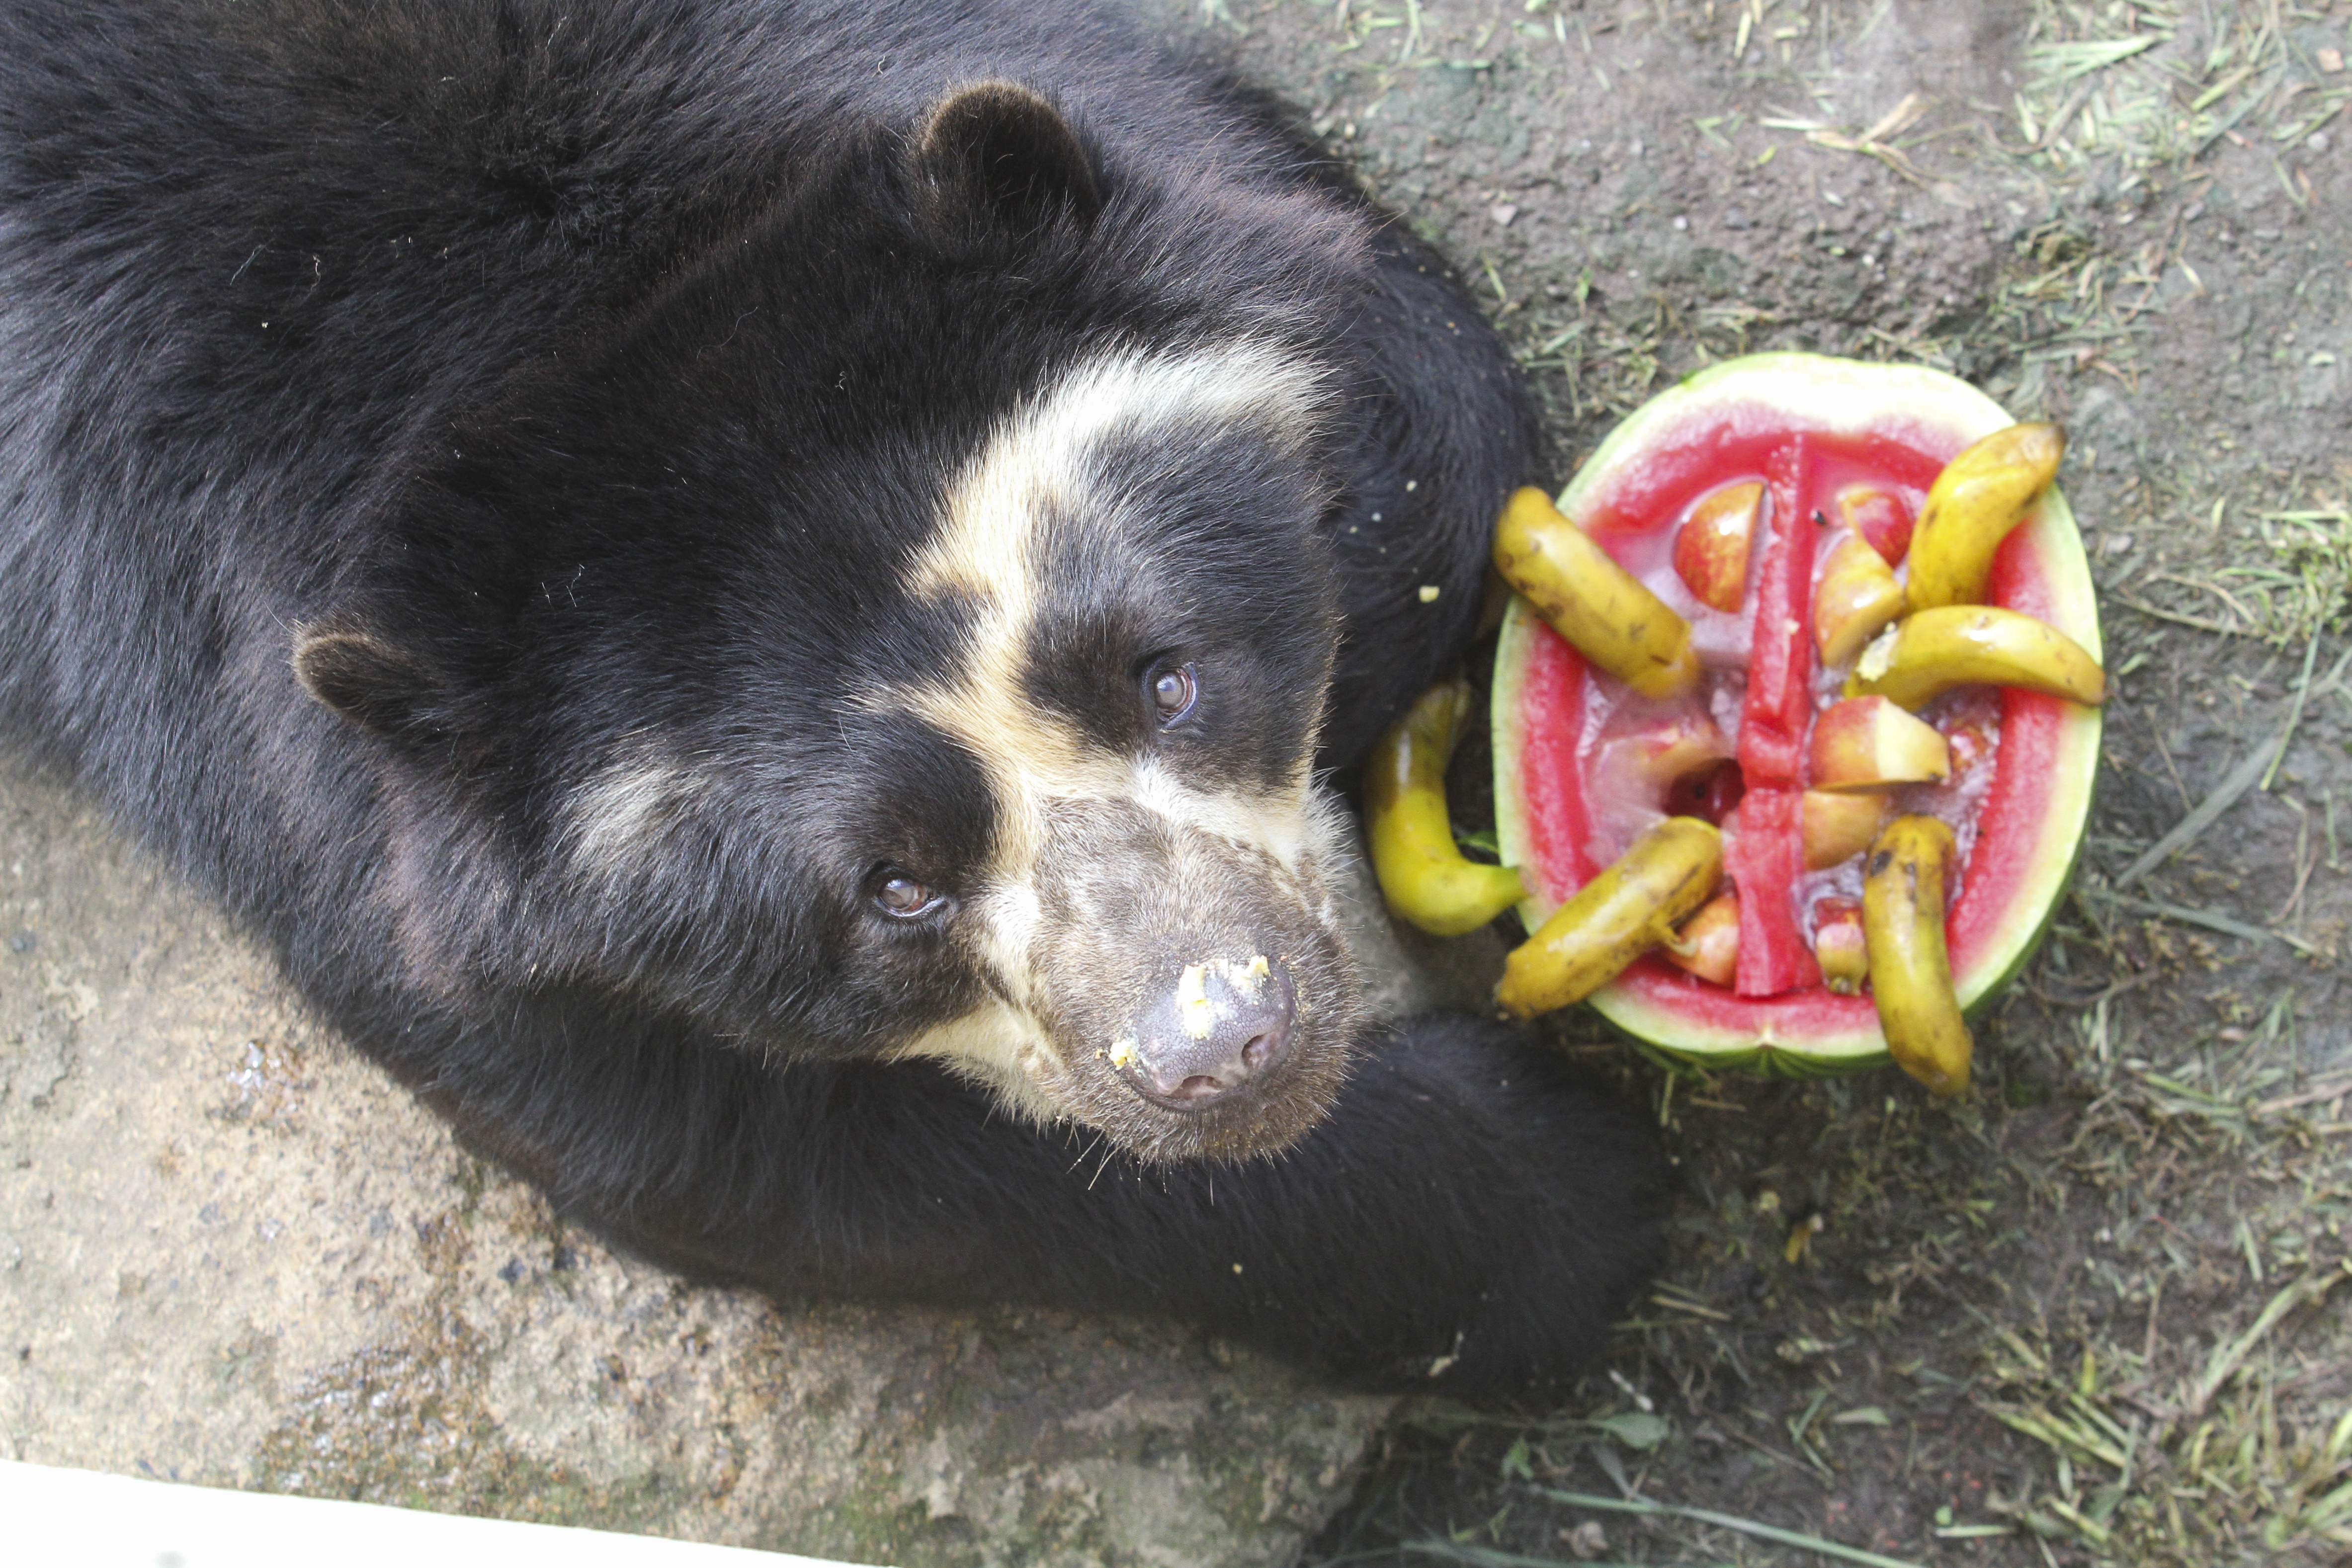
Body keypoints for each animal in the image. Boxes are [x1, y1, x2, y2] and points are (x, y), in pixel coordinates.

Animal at [0, 0, 1666, 1401]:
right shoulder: (300, 770)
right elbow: (749, 1153)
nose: (1225, 1050)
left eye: (1166, 677)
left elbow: (1427, 408)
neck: (563, 317)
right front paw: (1567, 1198)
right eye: (893, 886)